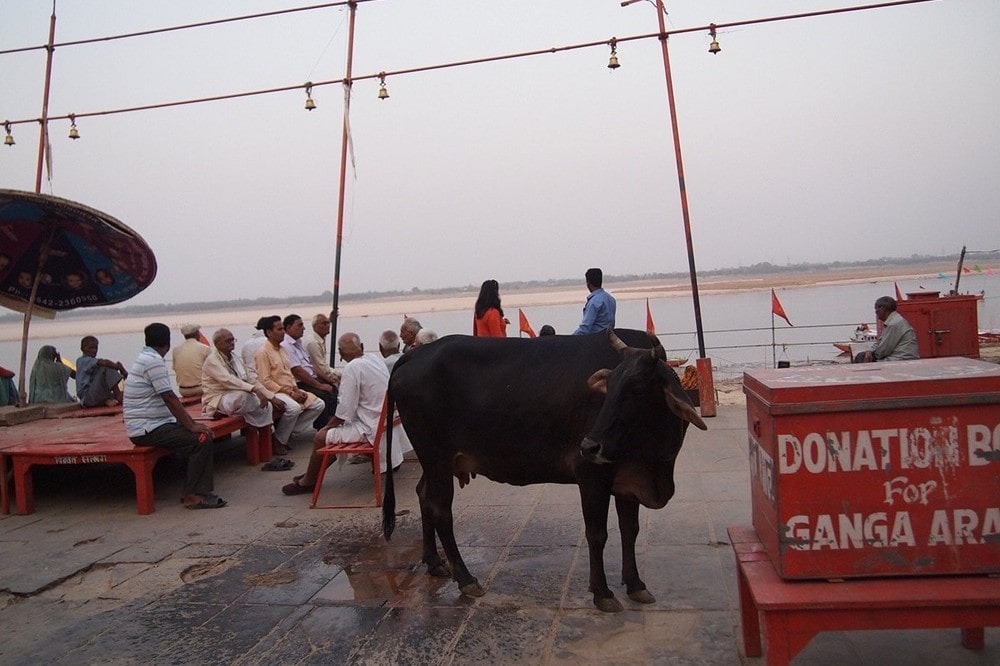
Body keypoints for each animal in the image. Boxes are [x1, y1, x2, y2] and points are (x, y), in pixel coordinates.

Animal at [380, 326, 704, 612]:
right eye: (609, 387)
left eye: (636, 389)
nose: (590, 445)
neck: (654, 461)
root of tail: (417, 354)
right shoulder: (591, 476)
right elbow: (597, 534)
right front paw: (602, 593)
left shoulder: (627, 482)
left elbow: (629, 531)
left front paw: (635, 584)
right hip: (437, 459)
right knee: (441, 511)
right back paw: (466, 578)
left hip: (435, 463)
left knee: (424, 496)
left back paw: (435, 563)